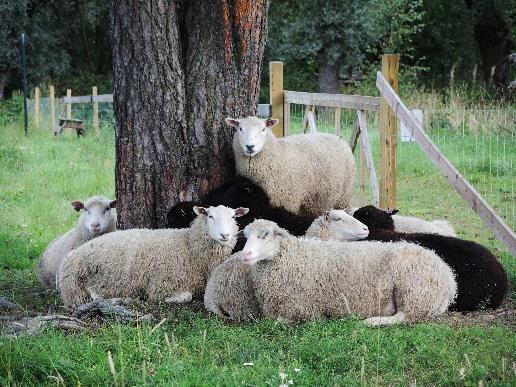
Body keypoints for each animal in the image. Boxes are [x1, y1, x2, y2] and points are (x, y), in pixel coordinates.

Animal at [58, 205, 248, 308]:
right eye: (210, 216)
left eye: (233, 217)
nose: (225, 235)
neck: (189, 246)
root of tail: (71, 255)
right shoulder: (161, 285)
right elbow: (185, 296)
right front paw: (171, 299)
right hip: (79, 286)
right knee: (92, 296)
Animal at [226, 116, 354, 217]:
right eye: (240, 129)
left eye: (263, 129)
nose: (250, 146)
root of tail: (339, 138)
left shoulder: (288, 202)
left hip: (345, 196)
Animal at [238, 220, 456, 326]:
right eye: (246, 236)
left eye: (265, 235)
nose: (245, 254)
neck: (293, 258)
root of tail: (448, 277)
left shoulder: (303, 310)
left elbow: (277, 321)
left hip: (413, 292)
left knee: (404, 317)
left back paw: (372, 322)